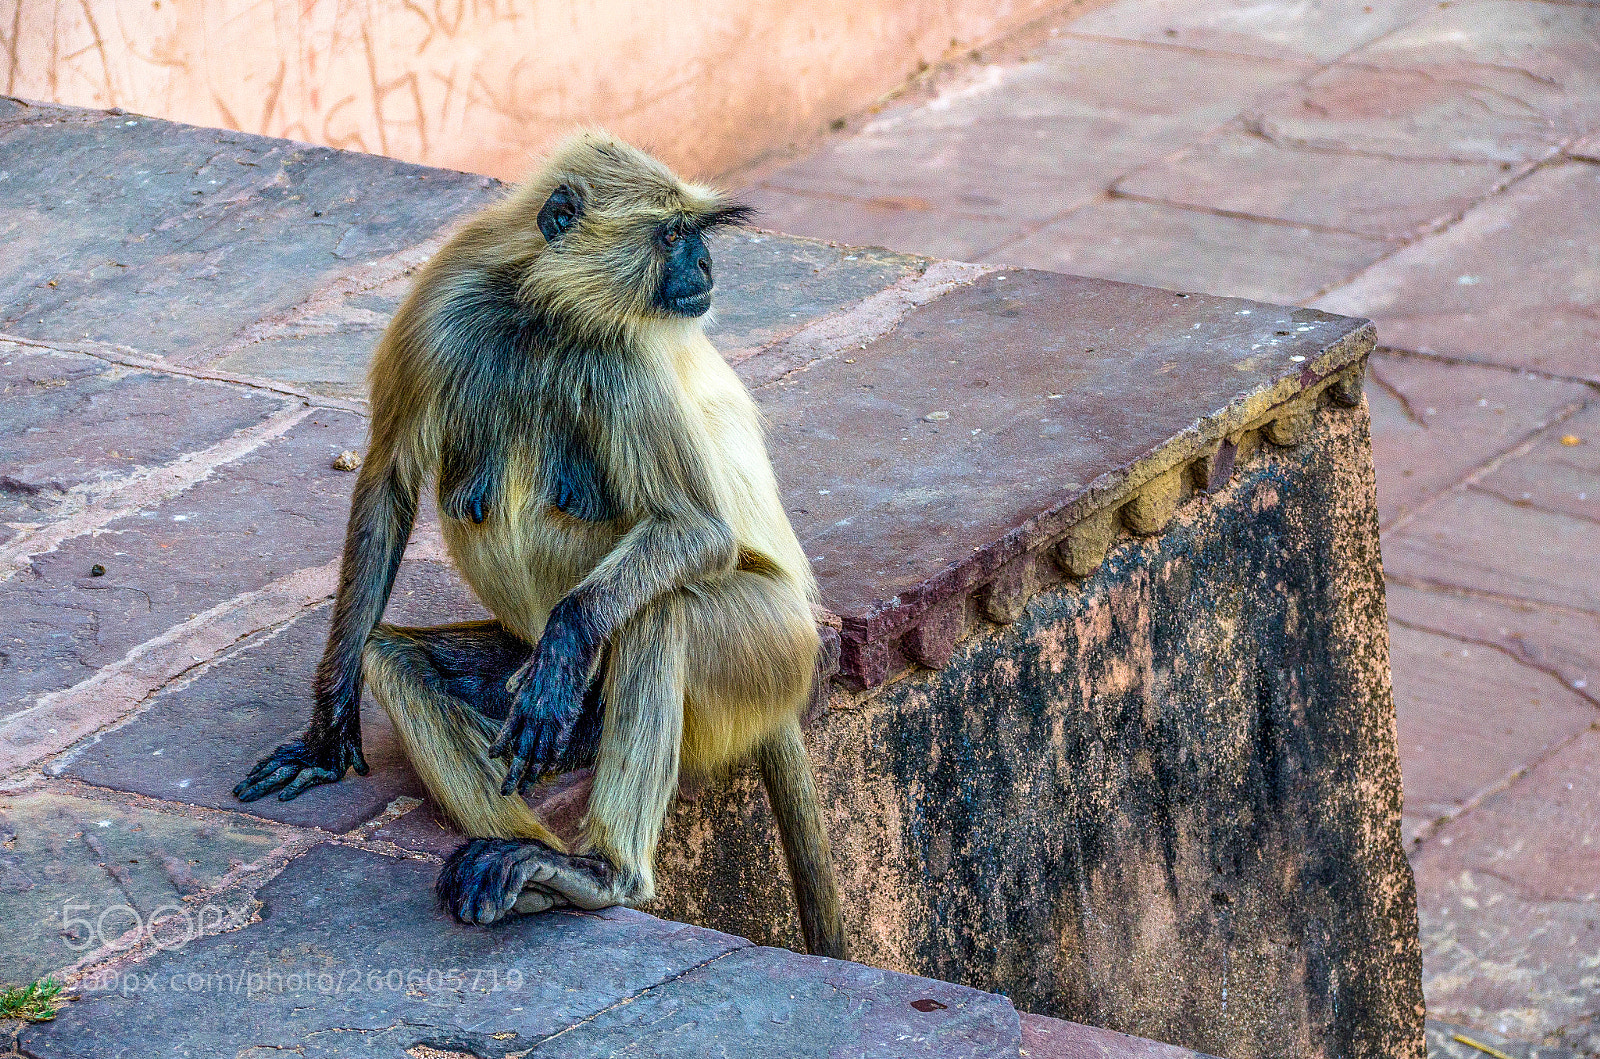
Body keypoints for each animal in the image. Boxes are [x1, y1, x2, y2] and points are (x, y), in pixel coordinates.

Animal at [232, 131, 848, 960]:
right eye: (672, 236)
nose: (707, 269)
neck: (540, 306)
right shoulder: (439, 303)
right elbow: (386, 486)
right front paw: (328, 727)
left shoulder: (623, 351)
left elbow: (695, 530)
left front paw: (569, 637)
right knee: (393, 657)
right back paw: (531, 860)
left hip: (768, 646)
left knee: (663, 613)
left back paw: (600, 871)